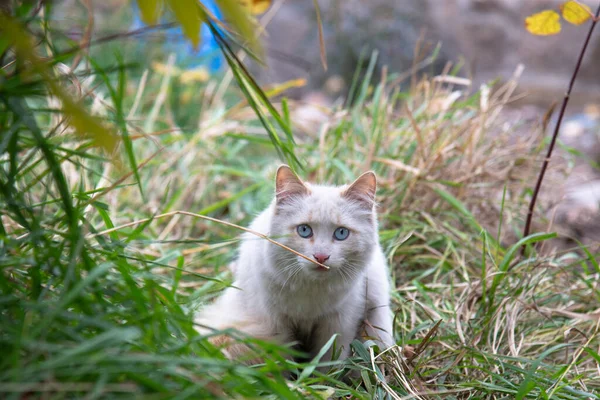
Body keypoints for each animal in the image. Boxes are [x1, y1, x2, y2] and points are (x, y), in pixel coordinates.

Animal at [195, 166, 396, 362]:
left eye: (341, 233)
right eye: (304, 230)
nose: (321, 257)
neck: (311, 291)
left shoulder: (339, 324)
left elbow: (328, 362)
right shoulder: (275, 323)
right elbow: (283, 360)